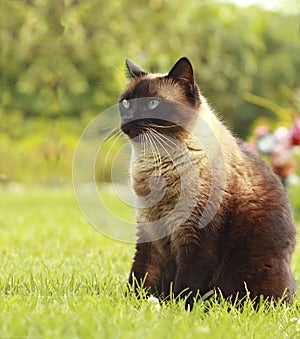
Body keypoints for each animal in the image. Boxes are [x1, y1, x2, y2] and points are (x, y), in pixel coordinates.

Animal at [118, 57, 296, 310]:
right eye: (125, 104)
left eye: (152, 104)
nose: (127, 121)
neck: (158, 163)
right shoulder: (149, 230)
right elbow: (141, 276)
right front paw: (132, 305)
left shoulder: (197, 236)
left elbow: (187, 283)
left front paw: (178, 309)